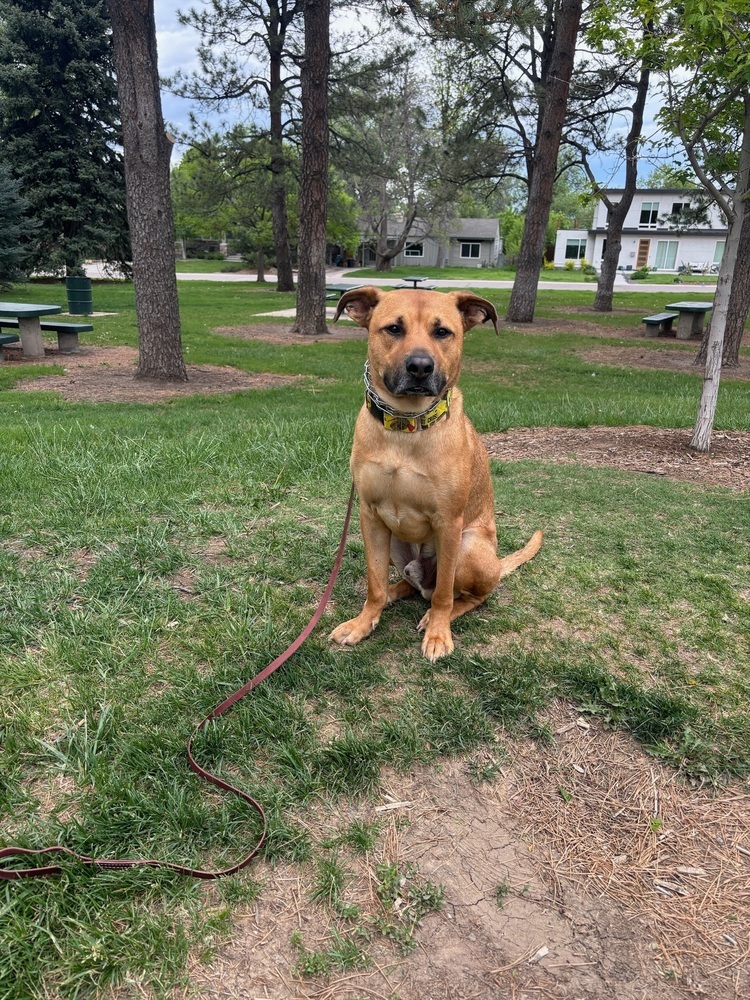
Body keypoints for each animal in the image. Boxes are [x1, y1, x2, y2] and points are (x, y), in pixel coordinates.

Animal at [328, 288, 540, 664]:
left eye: (442, 332)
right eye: (393, 328)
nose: (420, 366)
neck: (405, 426)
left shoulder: (448, 523)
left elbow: (444, 593)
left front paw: (439, 634)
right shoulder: (370, 516)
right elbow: (374, 582)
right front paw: (364, 622)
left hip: (469, 547)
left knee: (462, 595)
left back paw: (436, 616)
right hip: (395, 543)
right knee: (408, 585)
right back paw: (395, 594)